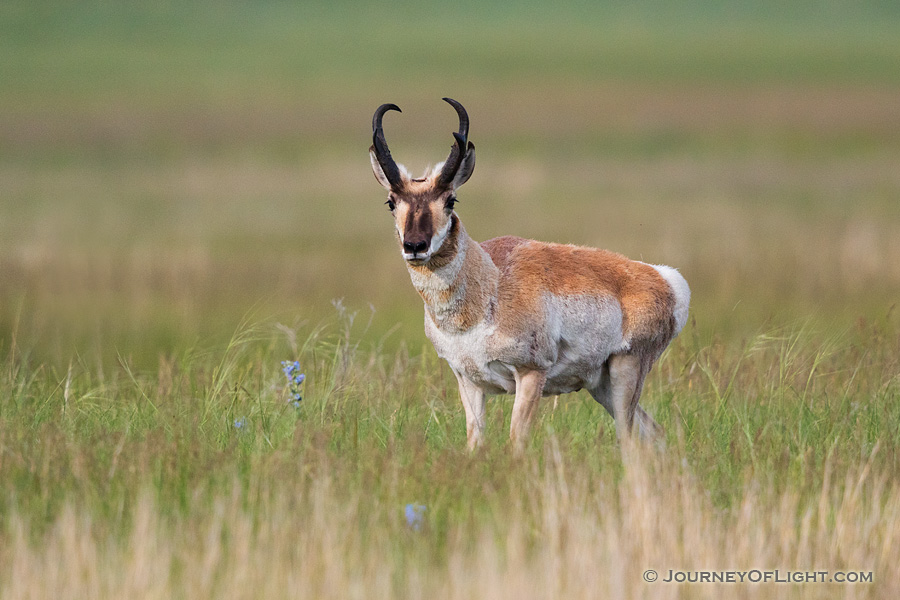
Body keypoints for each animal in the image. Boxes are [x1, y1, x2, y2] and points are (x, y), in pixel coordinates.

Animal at [370, 98, 692, 450]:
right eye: (391, 202)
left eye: (450, 200)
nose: (415, 246)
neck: (490, 285)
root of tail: (663, 277)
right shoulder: (468, 381)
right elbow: (475, 441)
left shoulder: (530, 374)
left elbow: (516, 441)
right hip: (601, 385)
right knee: (654, 432)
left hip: (626, 372)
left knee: (630, 437)